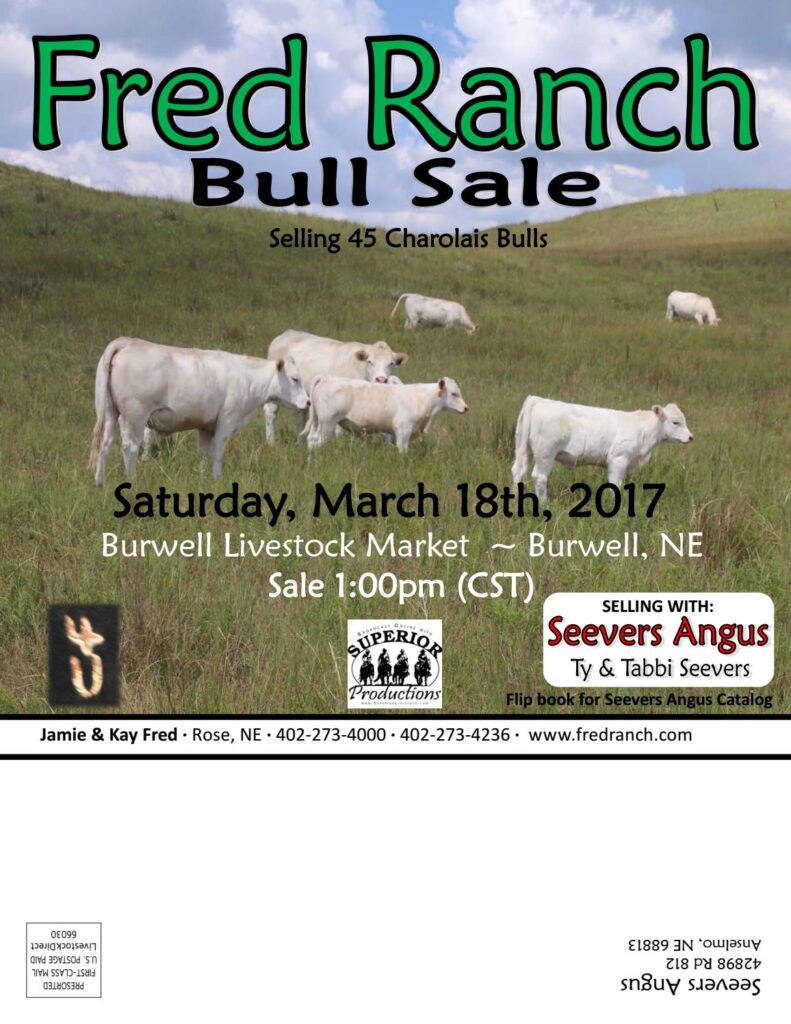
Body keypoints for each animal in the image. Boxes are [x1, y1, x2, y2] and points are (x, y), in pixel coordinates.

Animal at [89, 336, 308, 484]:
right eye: (295, 378)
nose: (308, 402)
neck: (246, 377)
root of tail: (127, 342)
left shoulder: (205, 425)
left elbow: (204, 452)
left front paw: (203, 478)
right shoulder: (227, 419)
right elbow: (218, 450)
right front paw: (217, 478)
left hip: (111, 413)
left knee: (105, 445)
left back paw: (100, 482)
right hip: (135, 416)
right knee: (129, 447)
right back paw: (132, 481)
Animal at [264, 329, 408, 443]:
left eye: (390, 363)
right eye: (369, 361)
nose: (381, 379)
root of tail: (286, 334)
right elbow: (339, 431)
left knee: (300, 416)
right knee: (271, 413)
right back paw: (271, 443)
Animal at [304, 377, 469, 453]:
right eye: (454, 393)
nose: (466, 408)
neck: (422, 399)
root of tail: (326, 378)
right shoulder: (403, 431)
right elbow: (403, 450)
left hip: (318, 422)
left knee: (311, 440)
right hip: (327, 424)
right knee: (318, 442)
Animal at [511, 395, 694, 500]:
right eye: (675, 422)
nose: (691, 437)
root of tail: (538, 400)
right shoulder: (618, 459)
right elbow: (615, 484)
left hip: (524, 449)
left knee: (518, 472)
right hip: (545, 454)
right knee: (539, 477)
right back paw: (544, 504)